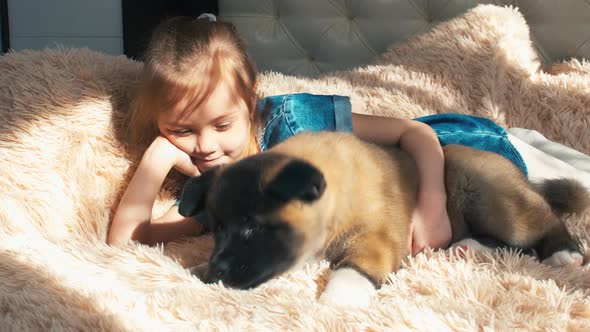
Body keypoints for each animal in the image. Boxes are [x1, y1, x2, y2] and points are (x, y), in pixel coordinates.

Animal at [178, 130, 588, 306]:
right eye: (216, 229)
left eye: (252, 226)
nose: (217, 272)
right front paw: (199, 268)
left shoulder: (374, 240)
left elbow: (352, 270)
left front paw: (338, 301)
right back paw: (469, 248)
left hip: (494, 201)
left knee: (541, 224)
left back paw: (564, 252)